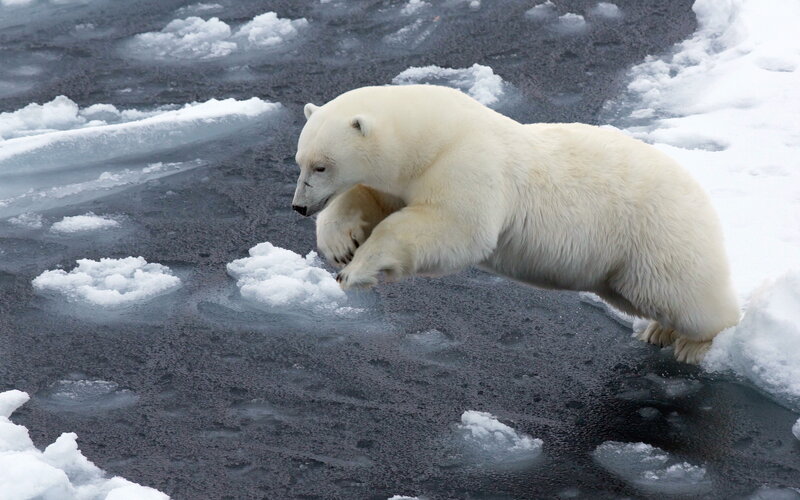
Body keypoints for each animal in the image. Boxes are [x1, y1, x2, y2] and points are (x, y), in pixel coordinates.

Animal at [291, 84, 740, 364]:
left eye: (321, 165)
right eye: (300, 161)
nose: (299, 206)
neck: (434, 134)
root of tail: (700, 193)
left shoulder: (469, 163)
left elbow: (454, 227)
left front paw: (357, 271)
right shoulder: (405, 176)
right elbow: (369, 198)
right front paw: (340, 246)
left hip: (655, 234)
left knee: (683, 294)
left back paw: (694, 343)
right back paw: (658, 331)